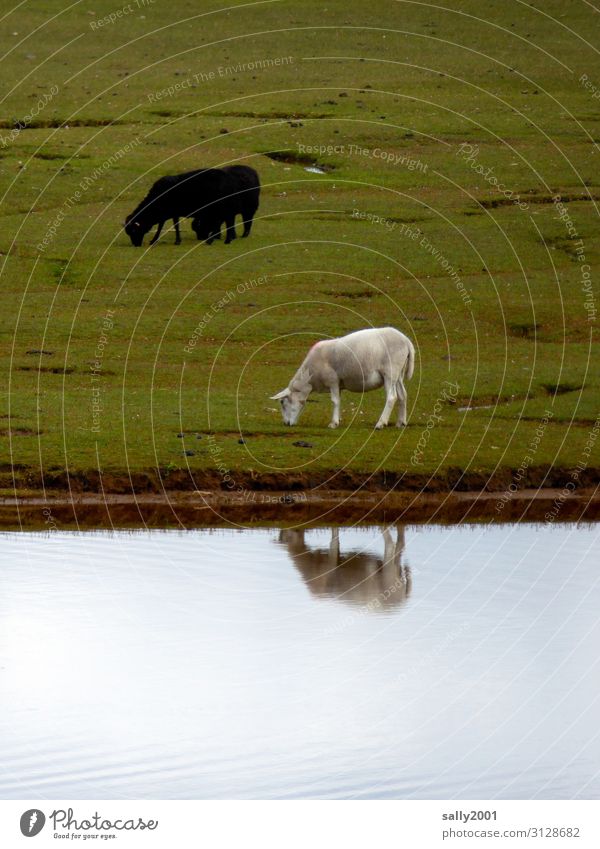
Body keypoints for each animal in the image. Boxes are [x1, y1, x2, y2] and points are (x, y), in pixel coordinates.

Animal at [270, 326, 414, 430]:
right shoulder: (339, 384)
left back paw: (381, 423)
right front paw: (338, 419)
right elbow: (338, 401)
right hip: (398, 375)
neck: (310, 378)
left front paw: (333, 423)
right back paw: (401, 422)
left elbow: (334, 401)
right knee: (403, 395)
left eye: (282, 402)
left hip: (390, 372)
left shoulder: (333, 380)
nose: (285, 423)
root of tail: (406, 341)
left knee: (392, 397)